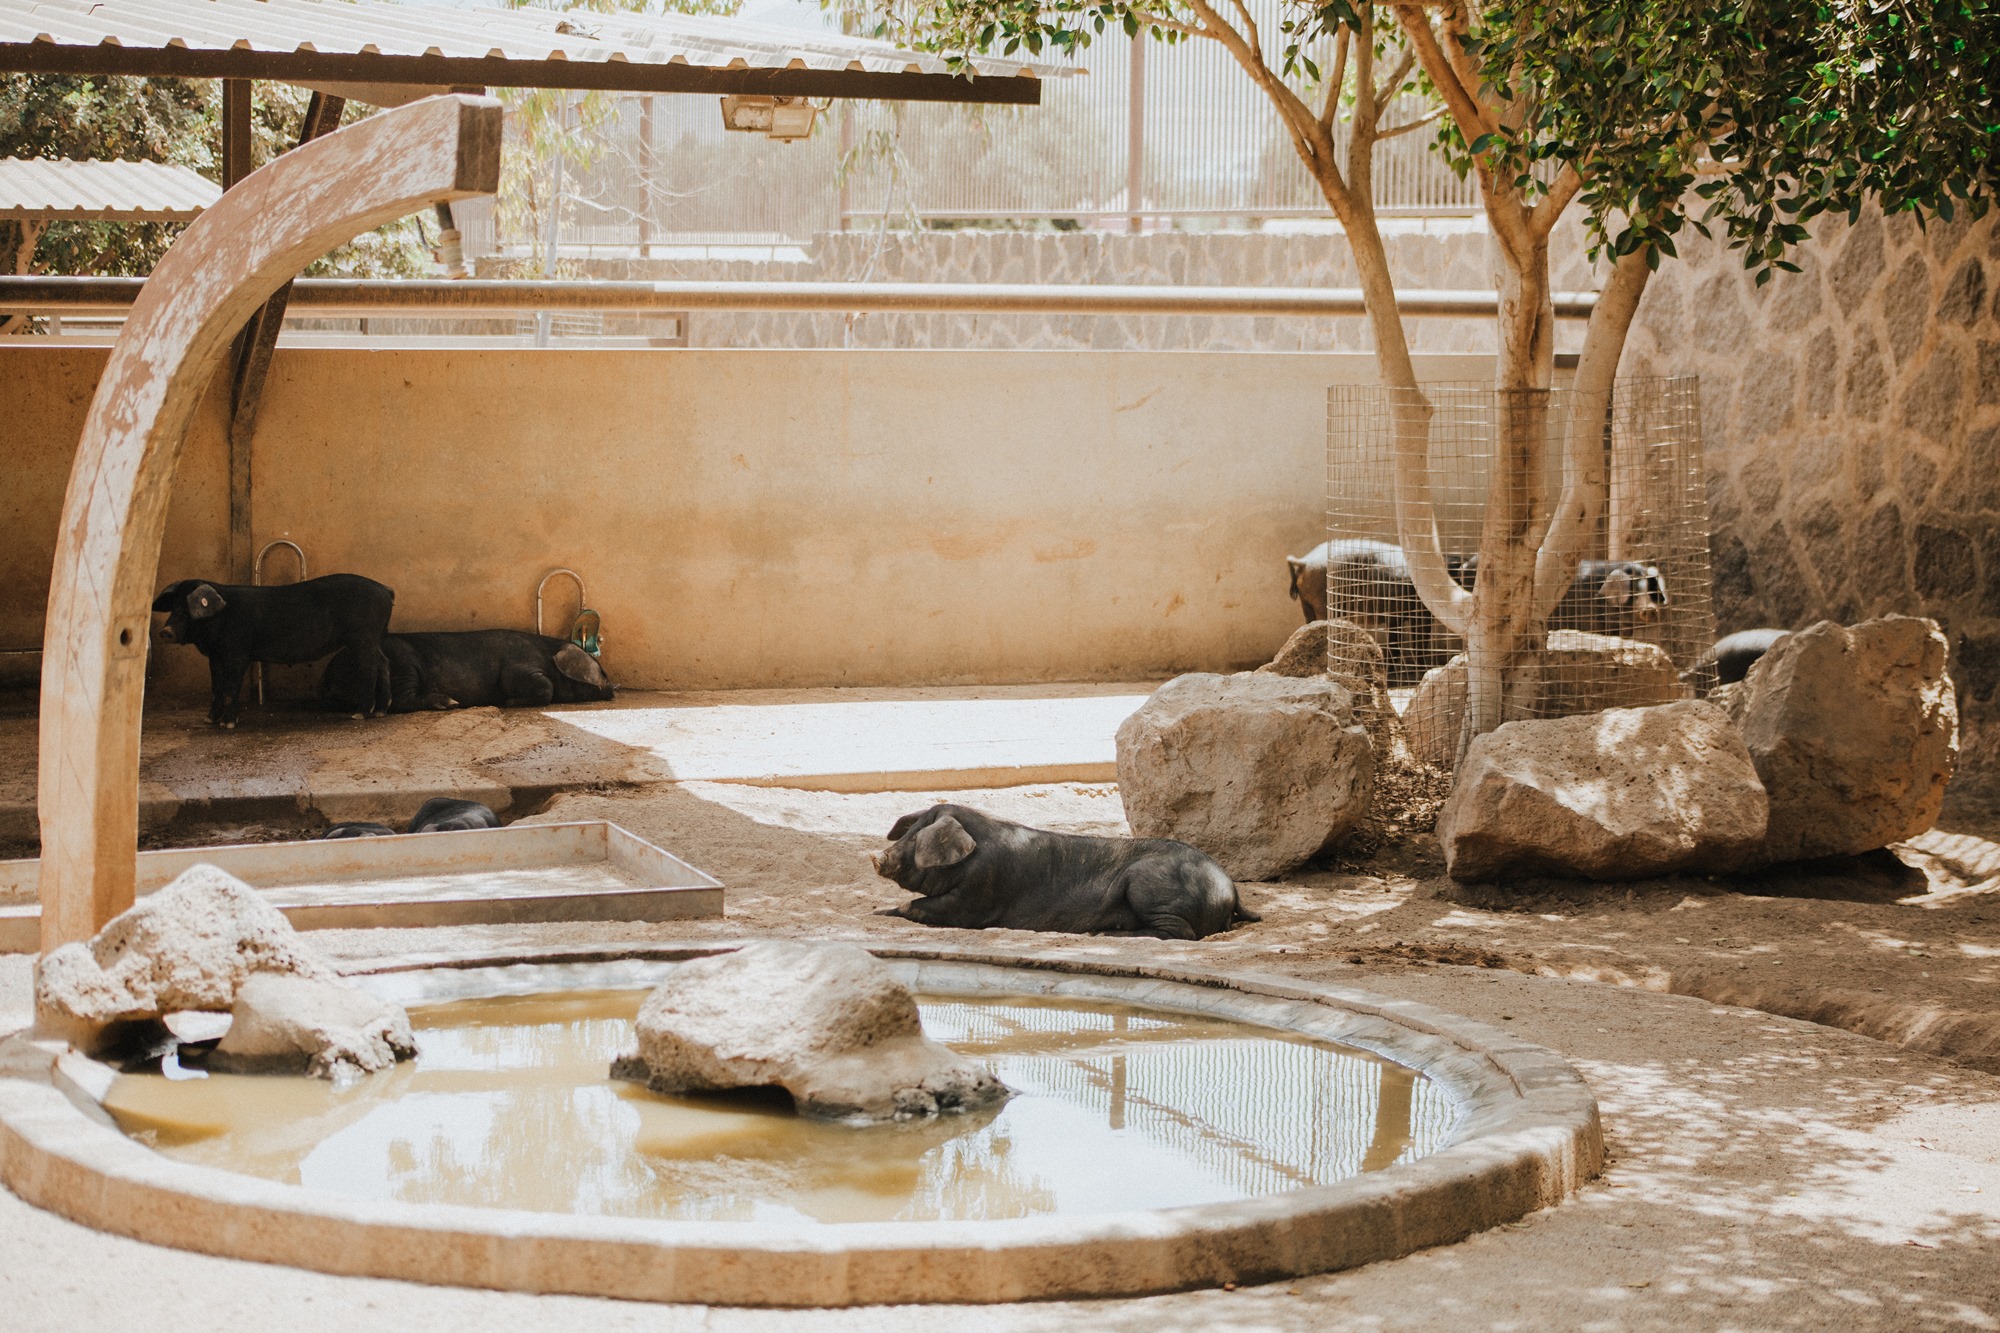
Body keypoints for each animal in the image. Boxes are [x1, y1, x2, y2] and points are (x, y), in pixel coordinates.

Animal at [320, 628, 612, 712]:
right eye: (603, 671)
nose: (614, 686)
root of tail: (330, 674)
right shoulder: (519, 667)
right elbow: (545, 687)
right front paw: (508, 702)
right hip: (402, 664)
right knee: (400, 701)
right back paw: (449, 703)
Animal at [872, 800, 1248, 932]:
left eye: (916, 843)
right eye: (911, 833)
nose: (878, 856)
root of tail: (1229, 888)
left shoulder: (977, 896)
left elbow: (919, 906)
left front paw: (877, 912)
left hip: (1148, 886)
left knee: (1181, 933)